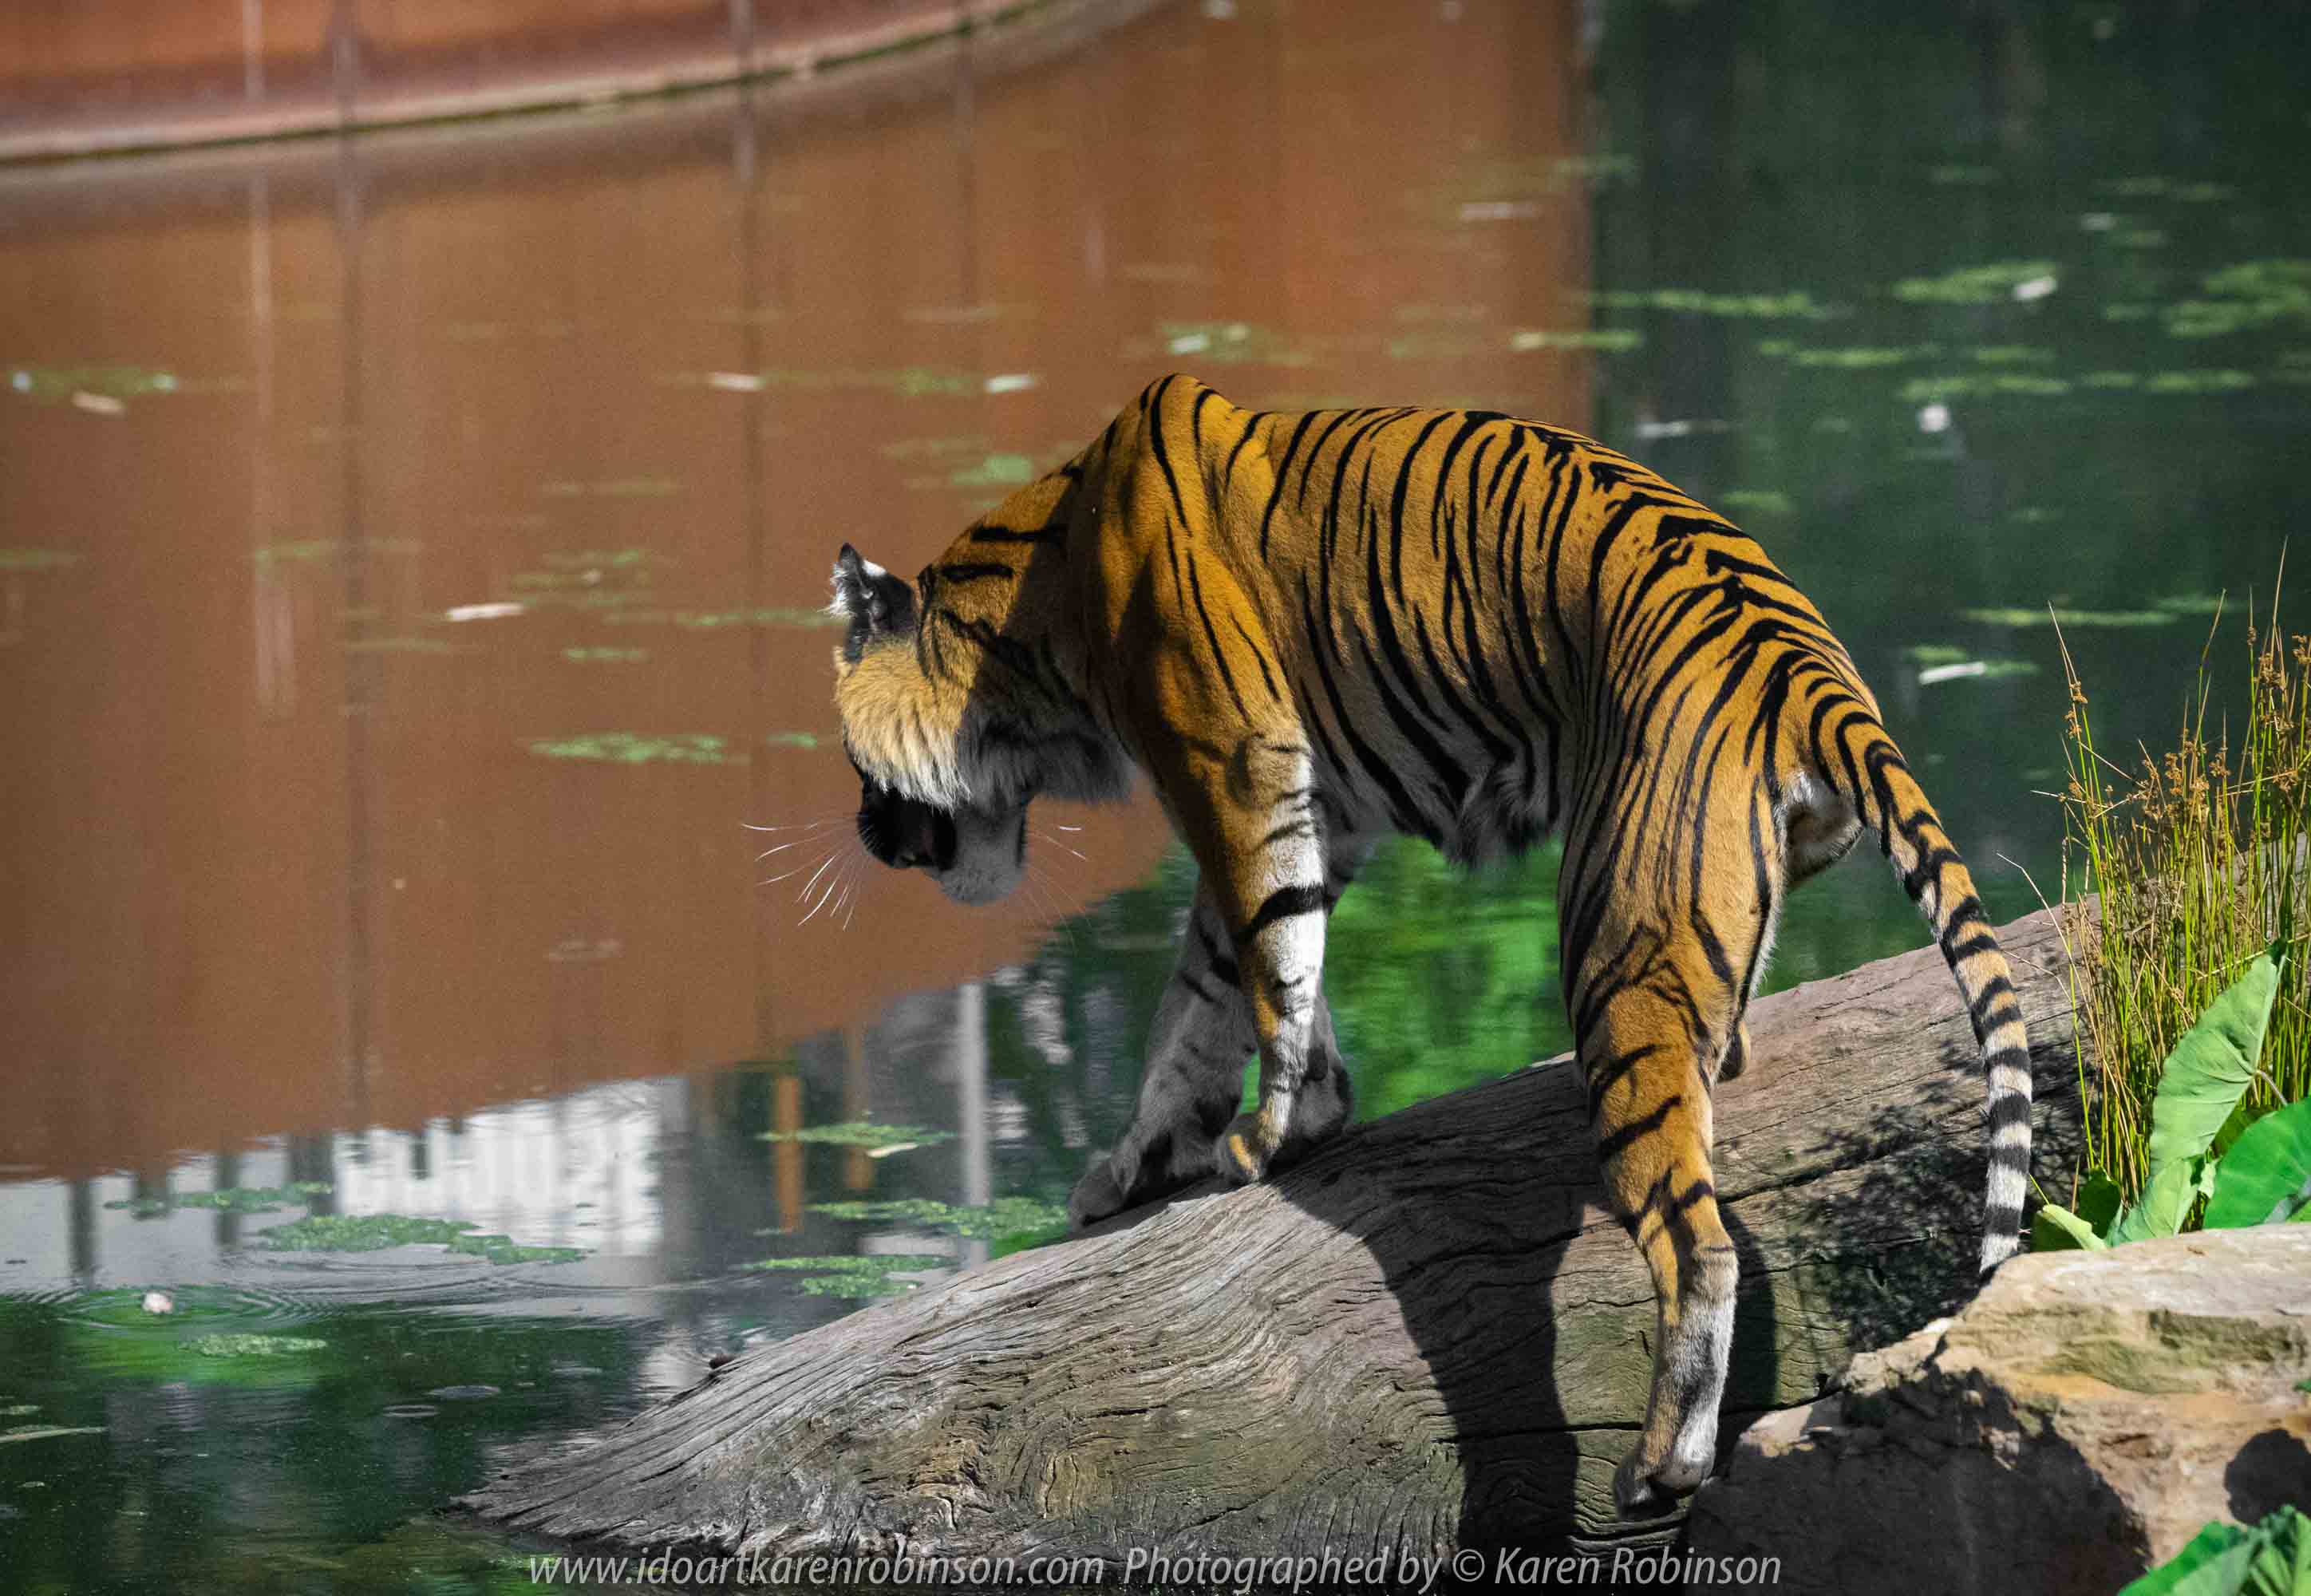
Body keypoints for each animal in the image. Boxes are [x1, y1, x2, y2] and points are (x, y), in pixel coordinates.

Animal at [825, 372, 2032, 1515]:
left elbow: (1260, 971)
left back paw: (1661, 1465)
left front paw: (1265, 1140)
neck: (1033, 622)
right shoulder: (1314, 802)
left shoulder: (1232, 764)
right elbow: (1213, 991)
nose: (867, 834)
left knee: (1697, 1244)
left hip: (1616, 947)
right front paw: (1148, 1163)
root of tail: (1802, 659)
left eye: (849, 761)